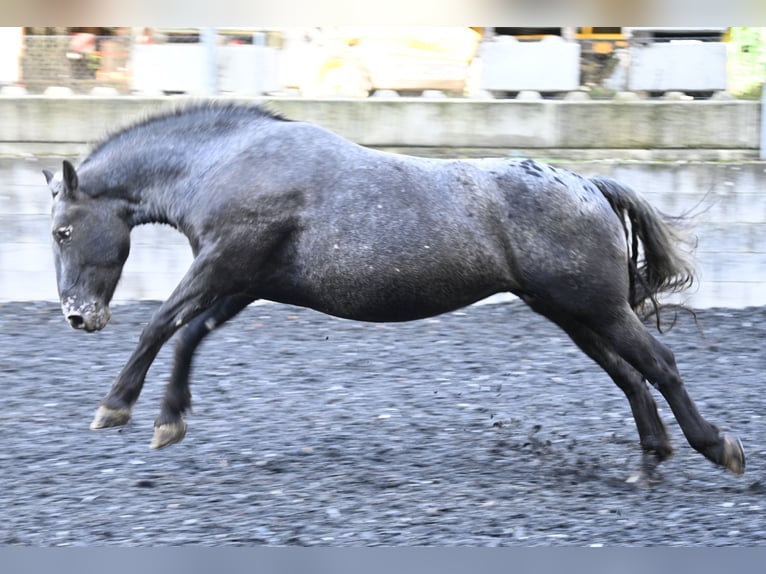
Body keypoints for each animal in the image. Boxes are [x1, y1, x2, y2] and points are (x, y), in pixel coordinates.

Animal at [42, 101, 744, 480]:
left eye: (62, 230)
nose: (78, 316)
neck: (227, 162)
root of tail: (591, 185)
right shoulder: (243, 281)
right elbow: (190, 335)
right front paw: (170, 419)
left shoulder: (223, 266)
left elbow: (161, 323)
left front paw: (117, 407)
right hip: (572, 314)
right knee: (629, 375)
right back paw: (651, 460)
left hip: (594, 307)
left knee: (659, 364)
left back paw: (717, 447)